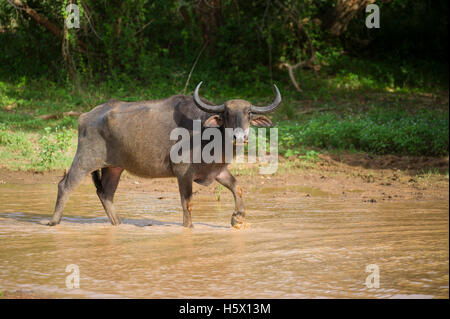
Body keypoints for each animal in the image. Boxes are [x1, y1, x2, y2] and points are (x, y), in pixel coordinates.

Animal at [48, 82, 282, 228]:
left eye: (249, 113)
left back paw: (118, 223)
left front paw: (238, 217)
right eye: (226, 113)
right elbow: (187, 203)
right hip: (85, 159)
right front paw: (189, 227)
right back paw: (53, 221)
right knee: (65, 185)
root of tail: (85, 116)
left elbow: (237, 187)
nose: (239, 136)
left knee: (106, 193)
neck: (209, 135)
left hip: (114, 167)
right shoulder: (183, 173)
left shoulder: (217, 171)